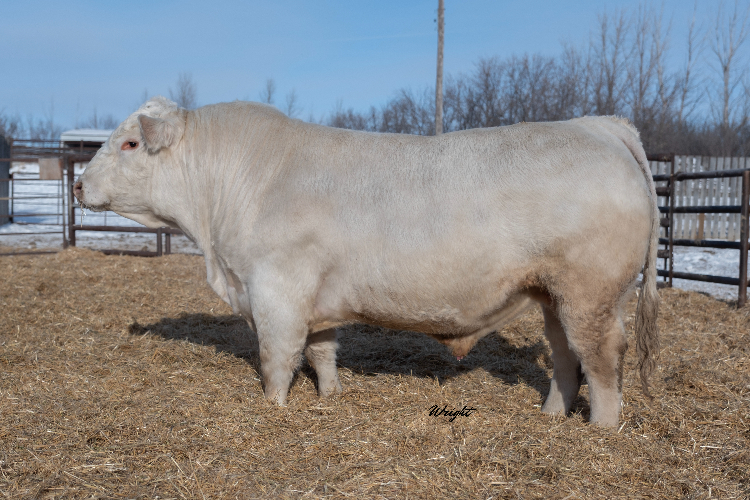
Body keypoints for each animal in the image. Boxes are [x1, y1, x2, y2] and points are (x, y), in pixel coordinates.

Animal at [74, 96, 659, 427]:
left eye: (129, 143)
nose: (78, 184)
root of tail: (600, 125)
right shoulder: (315, 297)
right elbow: (322, 351)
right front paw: (330, 396)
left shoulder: (277, 290)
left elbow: (276, 358)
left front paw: (274, 409)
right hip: (551, 293)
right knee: (565, 357)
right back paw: (551, 418)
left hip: (592, 290)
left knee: (601, 356)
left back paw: (600, 429)